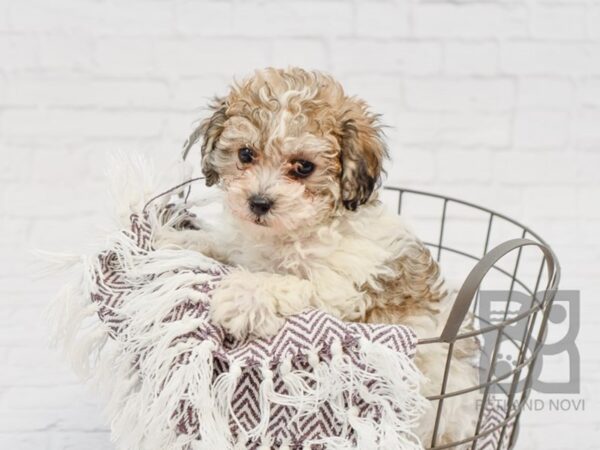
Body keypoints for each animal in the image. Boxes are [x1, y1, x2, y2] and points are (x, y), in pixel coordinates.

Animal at [177, 67, 478, 446]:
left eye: (304, 167)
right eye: (245, 154)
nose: (258, 202)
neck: (288, 234)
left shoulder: (340, 289)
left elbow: (289, 281)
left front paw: (244, 296)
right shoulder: (243, 247)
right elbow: (221, 245)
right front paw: (174, 238)